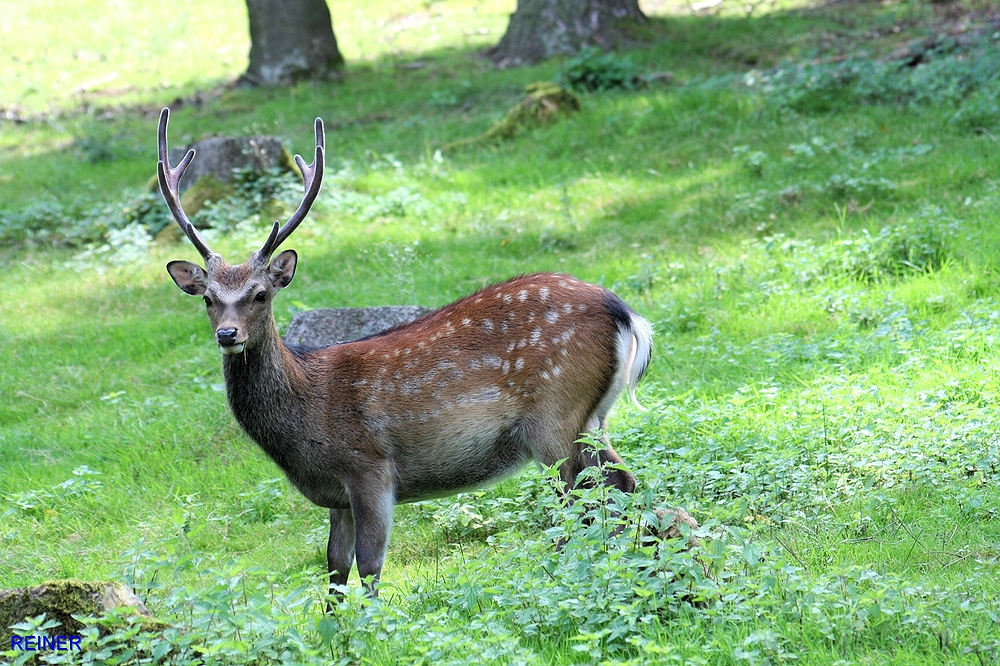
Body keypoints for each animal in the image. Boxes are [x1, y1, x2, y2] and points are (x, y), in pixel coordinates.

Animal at [157, 108, 653, 598]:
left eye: (260, 294)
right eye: (208, 298)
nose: (227, 334)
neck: (306, 413)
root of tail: (626, 315)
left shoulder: (369, 468)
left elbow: (370, 566)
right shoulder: (336, 496)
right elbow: (334, 571)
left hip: (554, 415)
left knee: (580, 500)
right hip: (591, 418)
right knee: (622, 482)